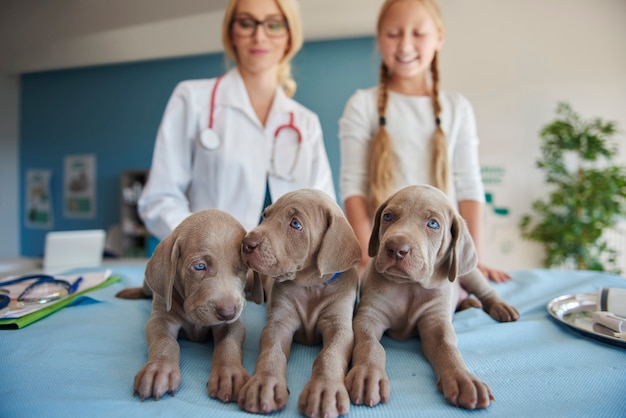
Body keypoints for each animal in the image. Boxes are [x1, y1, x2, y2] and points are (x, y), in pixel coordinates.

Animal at [114, 211, 249, 404]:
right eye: (200, 266)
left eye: (243, 268)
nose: (228, 312)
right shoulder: (160, 318)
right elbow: (165, 341)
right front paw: (158, 369)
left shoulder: (233, 324)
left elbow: (228, 343)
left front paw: (229, 373)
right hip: (151, 285)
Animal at [235, 190, 360, 418]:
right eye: (266, 215)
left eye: (295, 224)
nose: (246, 243)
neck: (310, 287)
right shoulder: (278, 323)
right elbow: (272, 352)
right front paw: (264, 385)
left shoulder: (340, 327)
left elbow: (329, 355)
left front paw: (324, 390)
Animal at [346, 185, 516, 410]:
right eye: (388, 216)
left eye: (433, 224)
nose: (396, 248)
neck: (409, 285)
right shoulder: (368, 316)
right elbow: (370, 345)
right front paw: (367, 375)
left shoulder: (436, 323)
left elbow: (447, 348)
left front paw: (463, 378)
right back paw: (469, 302)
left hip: (470, 273)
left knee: (487, 292)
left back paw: (500, 307)